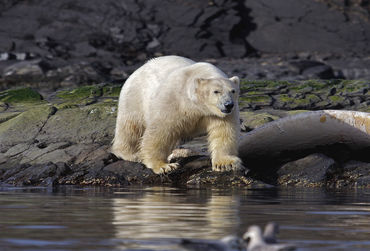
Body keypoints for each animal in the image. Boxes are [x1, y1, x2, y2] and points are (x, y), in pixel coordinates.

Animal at [111, 55, 241, 174]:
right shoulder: (173, 101)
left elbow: (224, 132)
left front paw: (225, 163)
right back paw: (131, 154)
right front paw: (164, 166)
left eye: (233, 91)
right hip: (134, 98)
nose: (228, 104)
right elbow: (159, 132)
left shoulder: (218, 114)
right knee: (130, 128)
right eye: (216, 91)